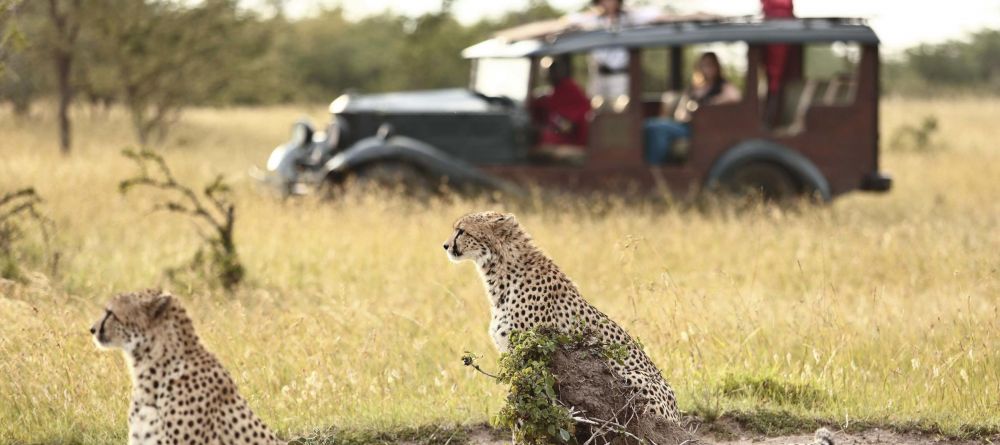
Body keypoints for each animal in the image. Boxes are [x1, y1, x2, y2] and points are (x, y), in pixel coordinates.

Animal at [444, 211, 680, 420]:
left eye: (462, 231)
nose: (445, 246)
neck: (501, 270)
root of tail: (678, 417)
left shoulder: (534, 354)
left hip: (633, 376)